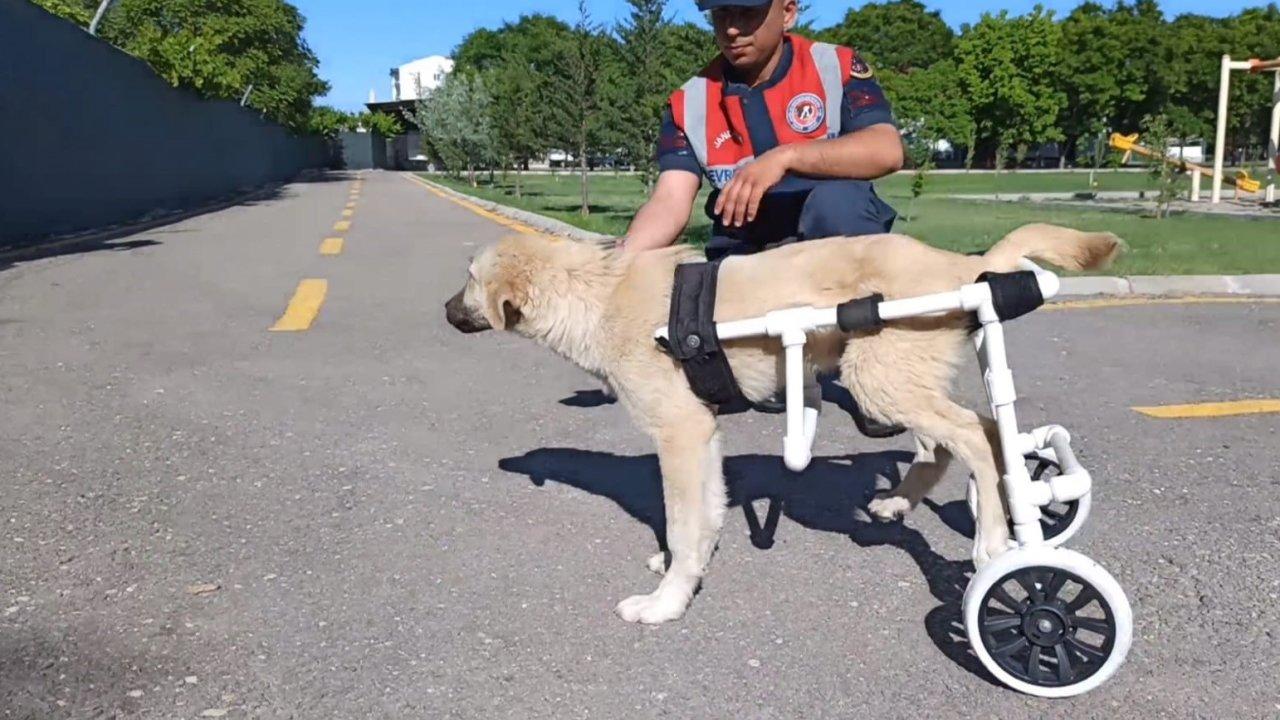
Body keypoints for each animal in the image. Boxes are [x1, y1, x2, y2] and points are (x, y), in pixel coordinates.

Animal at [442, 224, 1121, 622]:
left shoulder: (681, 435)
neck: (597, 294)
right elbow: (702, 517)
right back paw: (925, 502)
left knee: (977, 436)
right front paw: (685, 569)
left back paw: (996, 539)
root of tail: (963, 264)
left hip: (881, 379)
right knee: (966, 435)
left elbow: (684, 521)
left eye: (469, 281)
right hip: (900, 381)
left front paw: (666, 604)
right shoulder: (702, 438)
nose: (444, 310)